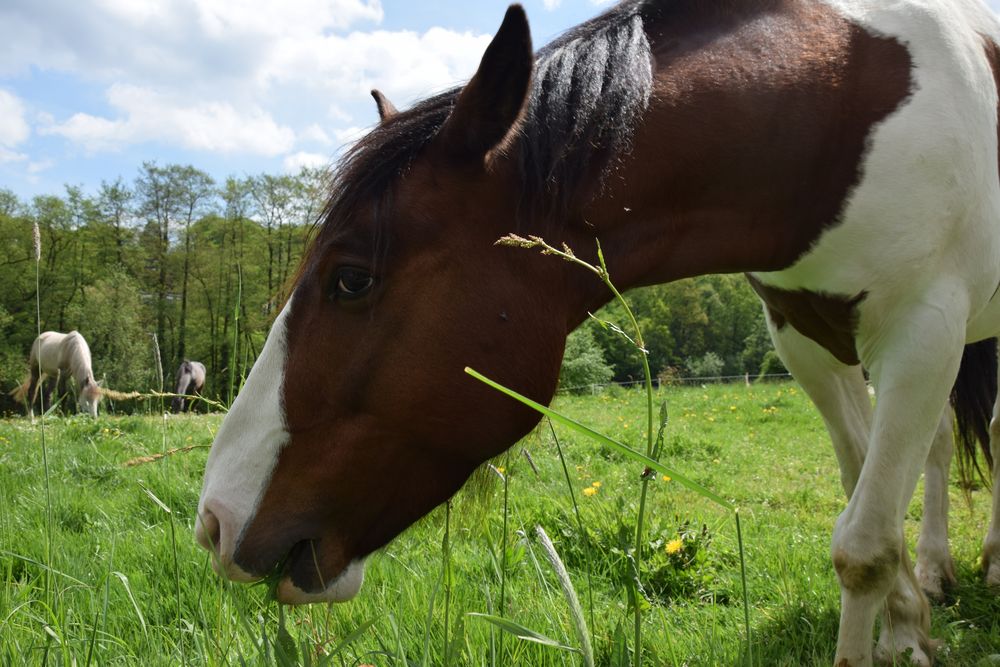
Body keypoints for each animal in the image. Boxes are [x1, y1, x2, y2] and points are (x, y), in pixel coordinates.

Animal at [199, 2, 1000, 664]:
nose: (213, 521)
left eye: (351, 279)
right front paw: (908, 623)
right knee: (936, 448)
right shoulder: (804, 337)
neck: (837, 111)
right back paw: (943, 569)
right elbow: (867, 498)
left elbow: (864, 544)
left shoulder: (922, 330)